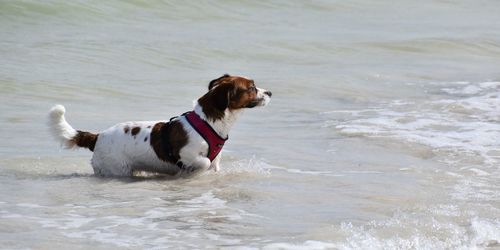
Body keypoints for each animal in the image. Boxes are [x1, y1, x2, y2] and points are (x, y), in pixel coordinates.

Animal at [48, 74, 272, 178]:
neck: (208, 122)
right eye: (251, 88)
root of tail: (98, 136)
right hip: (117, 169)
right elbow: (203, 163)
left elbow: (213, 165)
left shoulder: (216, 162)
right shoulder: (188, 155)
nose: (270, 92)